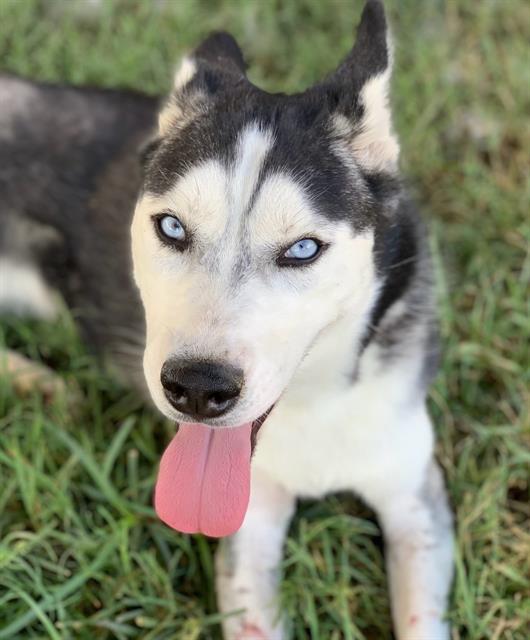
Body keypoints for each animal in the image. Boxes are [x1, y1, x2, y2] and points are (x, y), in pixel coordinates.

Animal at [2, 1, 452, 640]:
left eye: (303, 249)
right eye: (171, 227)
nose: (196, 388)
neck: (313, 403)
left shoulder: (415, 496)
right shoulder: (251, 520)